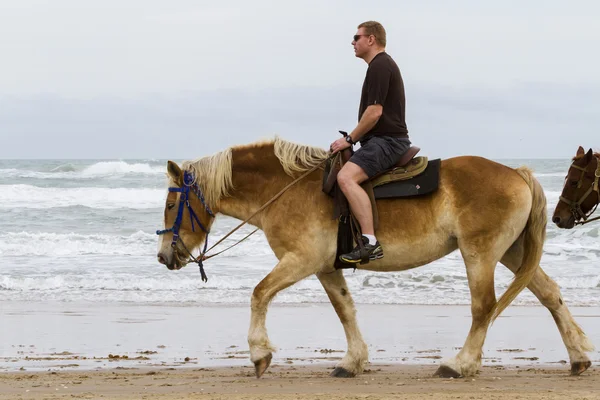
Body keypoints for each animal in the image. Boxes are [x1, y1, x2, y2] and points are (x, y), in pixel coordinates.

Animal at [157, 138, 592, 378]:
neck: (287, 188)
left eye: (170, 204)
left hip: (480, 253)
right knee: (549, 293)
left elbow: (259, 293)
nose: (163, 257)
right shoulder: (325, 268)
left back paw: (459, 364)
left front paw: (259, 354)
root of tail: (516, 173)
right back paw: (577, 358)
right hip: (513, 252)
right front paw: (352, 362)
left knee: (484, 306)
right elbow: (345, 310)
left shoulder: (300, 261)